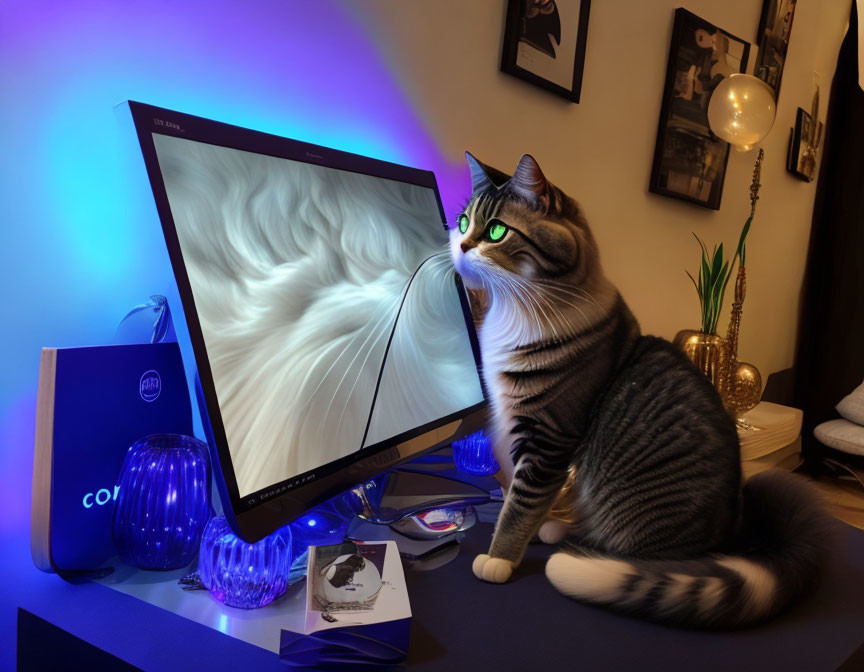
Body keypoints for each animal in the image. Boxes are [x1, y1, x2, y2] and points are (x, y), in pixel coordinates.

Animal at [448, 154, 832, 632]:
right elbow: (533, 500)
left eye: (497, 230)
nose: (461, 245)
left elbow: (520, 506)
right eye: (463, 221)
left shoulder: (548, 436)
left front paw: (500, 558)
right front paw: (535, 528)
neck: (513, 308)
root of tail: (736, 534)